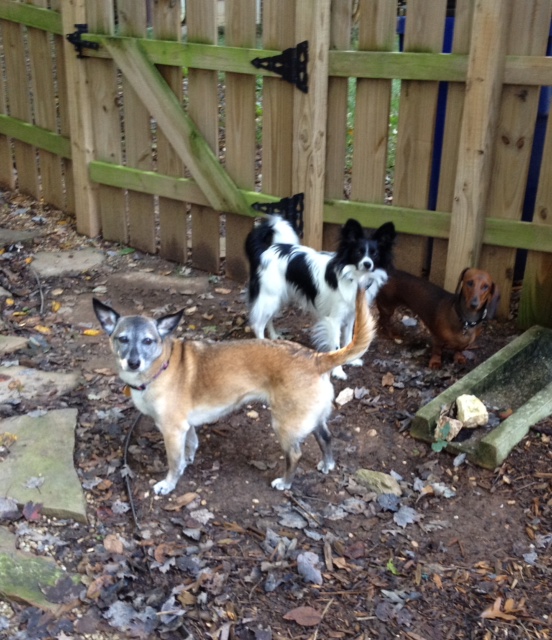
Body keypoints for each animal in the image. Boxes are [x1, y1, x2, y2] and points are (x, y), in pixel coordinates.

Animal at [92, 286, 374, 495]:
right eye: (122, 339)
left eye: (148, 341)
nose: (133, 362)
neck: (163, 364)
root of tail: (316, 357)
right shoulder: (185, 425)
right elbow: (191, 444)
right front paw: (188, 460)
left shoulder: (172, 430)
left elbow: (173, 461)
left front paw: (169, 483)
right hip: (310, 417)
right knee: (326, 437)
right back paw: (327, 464)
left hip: (284, 424)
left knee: (295, 454)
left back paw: (285, 483)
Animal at [245, 216, 395, 379]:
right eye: (358, 253)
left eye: (375, 254)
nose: (367, 264)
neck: (354, 276)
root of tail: (266, 251)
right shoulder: (334, 319)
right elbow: (336, 345)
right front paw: (338, 371)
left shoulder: (350, 316)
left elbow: (349, 339)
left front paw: (351, 359)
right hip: (270, 297)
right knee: (258, 325)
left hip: (276, 298)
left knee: (268, 319)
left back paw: (273, 337)